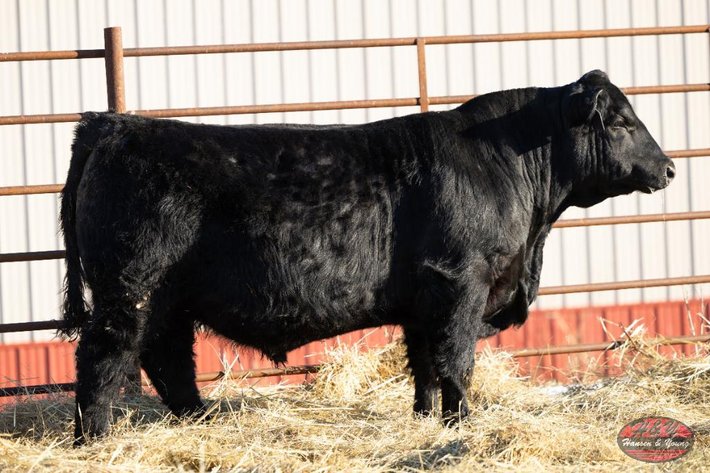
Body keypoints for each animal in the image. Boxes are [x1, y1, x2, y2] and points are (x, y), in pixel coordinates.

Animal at [61, 70, 674, 443]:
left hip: (168, 300)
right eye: (621, 121)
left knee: (168, 360)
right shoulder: (462, 283)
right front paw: (462, 426)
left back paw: (202, 420)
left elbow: (425, 366)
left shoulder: (424, 301)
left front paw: (428, 422)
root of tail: (114, 124)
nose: (669, 167)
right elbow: (456, 363)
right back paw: (96, 438)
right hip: (128, 290)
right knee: (104, 359)